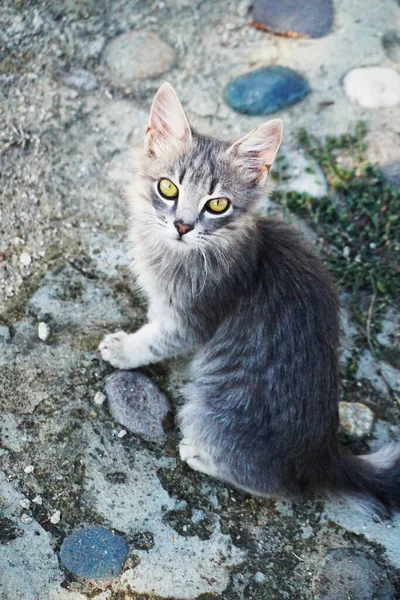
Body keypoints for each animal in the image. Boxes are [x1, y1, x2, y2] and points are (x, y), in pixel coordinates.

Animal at [100, 82, 400, 516]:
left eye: (217, 204)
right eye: (168, 188)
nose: (182, 225)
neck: (178, 254)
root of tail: (325, 455)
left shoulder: (193, 319)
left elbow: (155, 340)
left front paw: (123, 349)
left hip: (208, 409)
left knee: (283, 489)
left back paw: (198, 454)